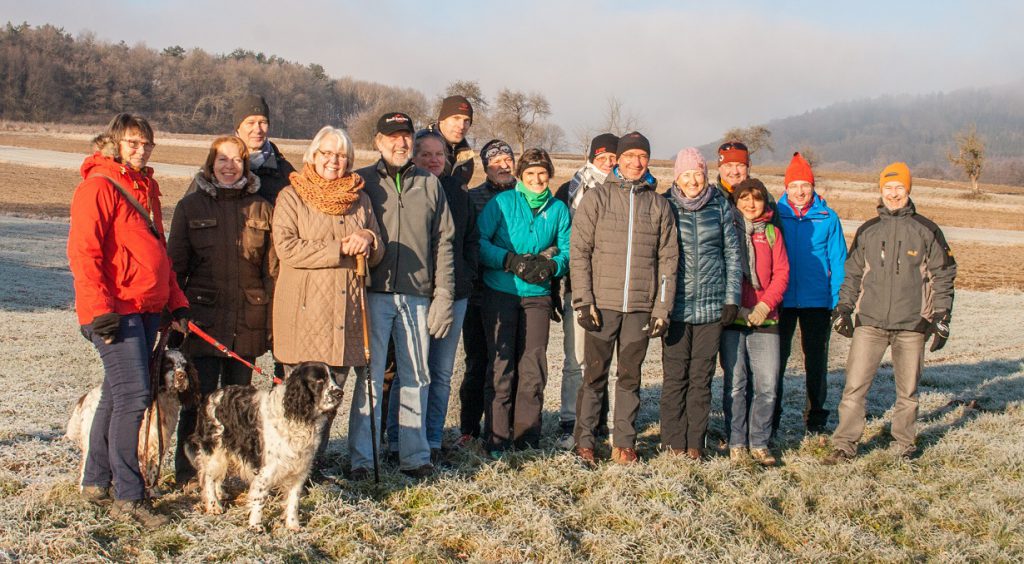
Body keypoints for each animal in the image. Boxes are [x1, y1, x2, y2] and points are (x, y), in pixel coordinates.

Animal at [66, 348, 199, 496]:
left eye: (185, 365)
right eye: (168, 365)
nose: (182, 376)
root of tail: (86, 396)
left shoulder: (157, 441)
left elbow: (153, 469)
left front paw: (153, 492)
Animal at [185, 361, 343, 531]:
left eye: (334, 378)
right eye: (319, 380)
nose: (340, 393)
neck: (298, 417)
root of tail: (211, 396)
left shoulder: (299, 469)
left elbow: (294, 500)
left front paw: (293, 525)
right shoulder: (266, 469)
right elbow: (259, 497)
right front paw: (255, 525)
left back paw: (221, 493)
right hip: (215, 450)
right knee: (207, 477)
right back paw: (214, 505)